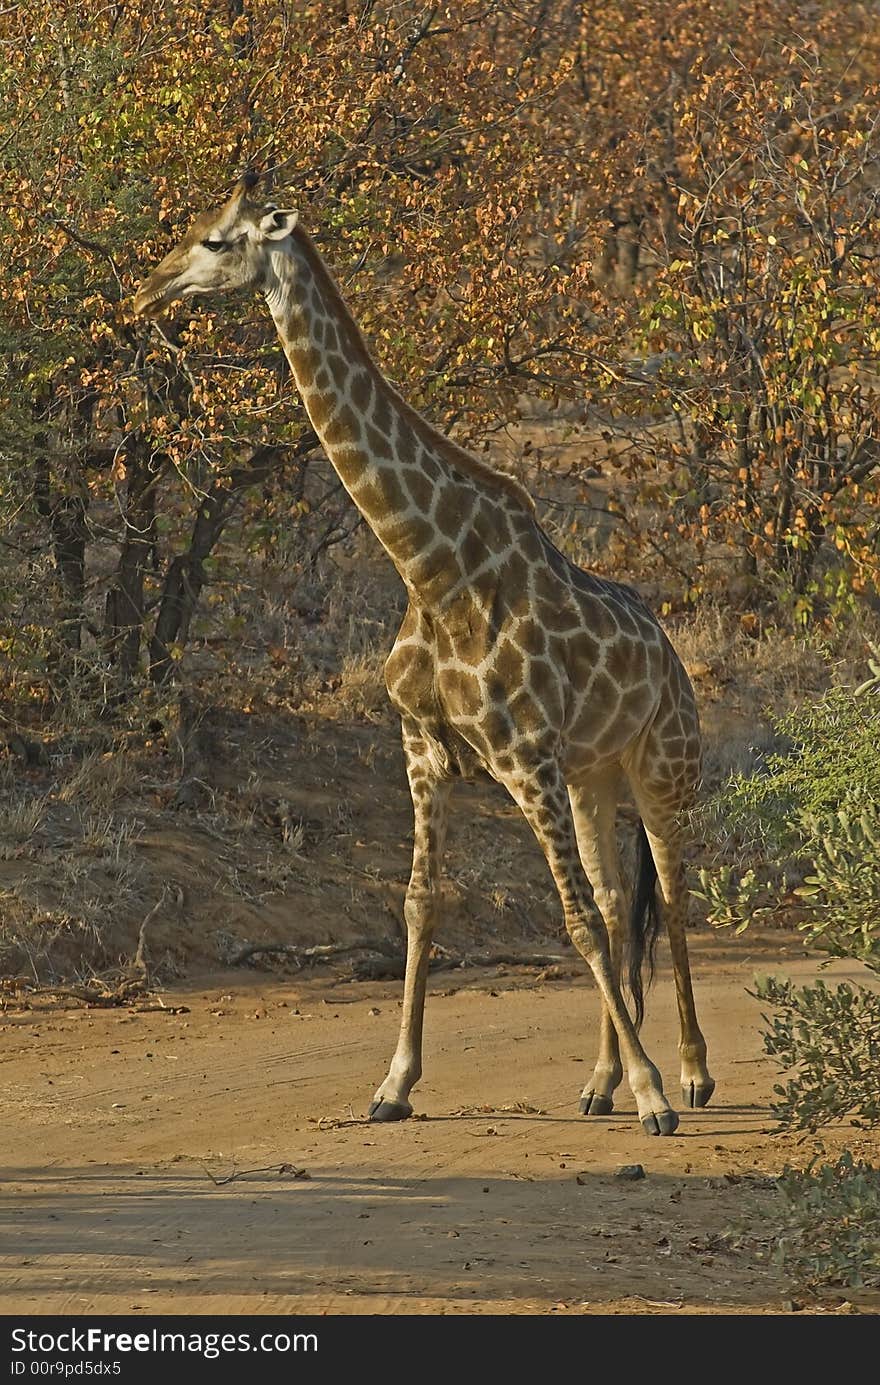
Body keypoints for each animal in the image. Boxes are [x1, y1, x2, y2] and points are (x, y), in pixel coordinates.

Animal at [137, 173, 715, 1130]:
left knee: (668, 896)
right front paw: (394, 1083)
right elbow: (420, 904)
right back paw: (597, 1081)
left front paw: (654, 1094)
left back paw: (693, 1074)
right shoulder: (423, 751)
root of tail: (670, 655)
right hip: (592, 776)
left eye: (217, 241)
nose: (151, 289)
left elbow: (575, 922)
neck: (431, 566)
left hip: (663, 763)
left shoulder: (524, 757)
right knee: (610, 895)